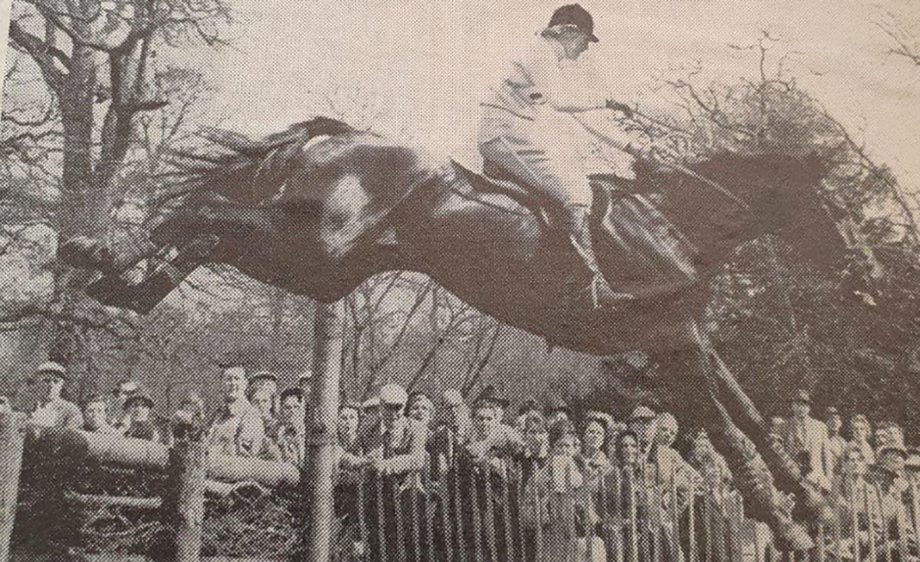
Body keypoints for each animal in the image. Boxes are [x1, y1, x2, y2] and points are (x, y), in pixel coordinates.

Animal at [59, 116, 848, 548]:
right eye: (830, 203)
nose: (849, 258)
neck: (669, 221)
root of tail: (339, 138)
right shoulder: (673, 339)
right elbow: (727, 421)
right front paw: (792, 518)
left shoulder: (682, 339)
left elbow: (744, 413)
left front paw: (810, 502)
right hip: (319, 243)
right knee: (204, 213)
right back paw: (97, 258)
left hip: (318, 263)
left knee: (205, 224)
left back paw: (112, 274)